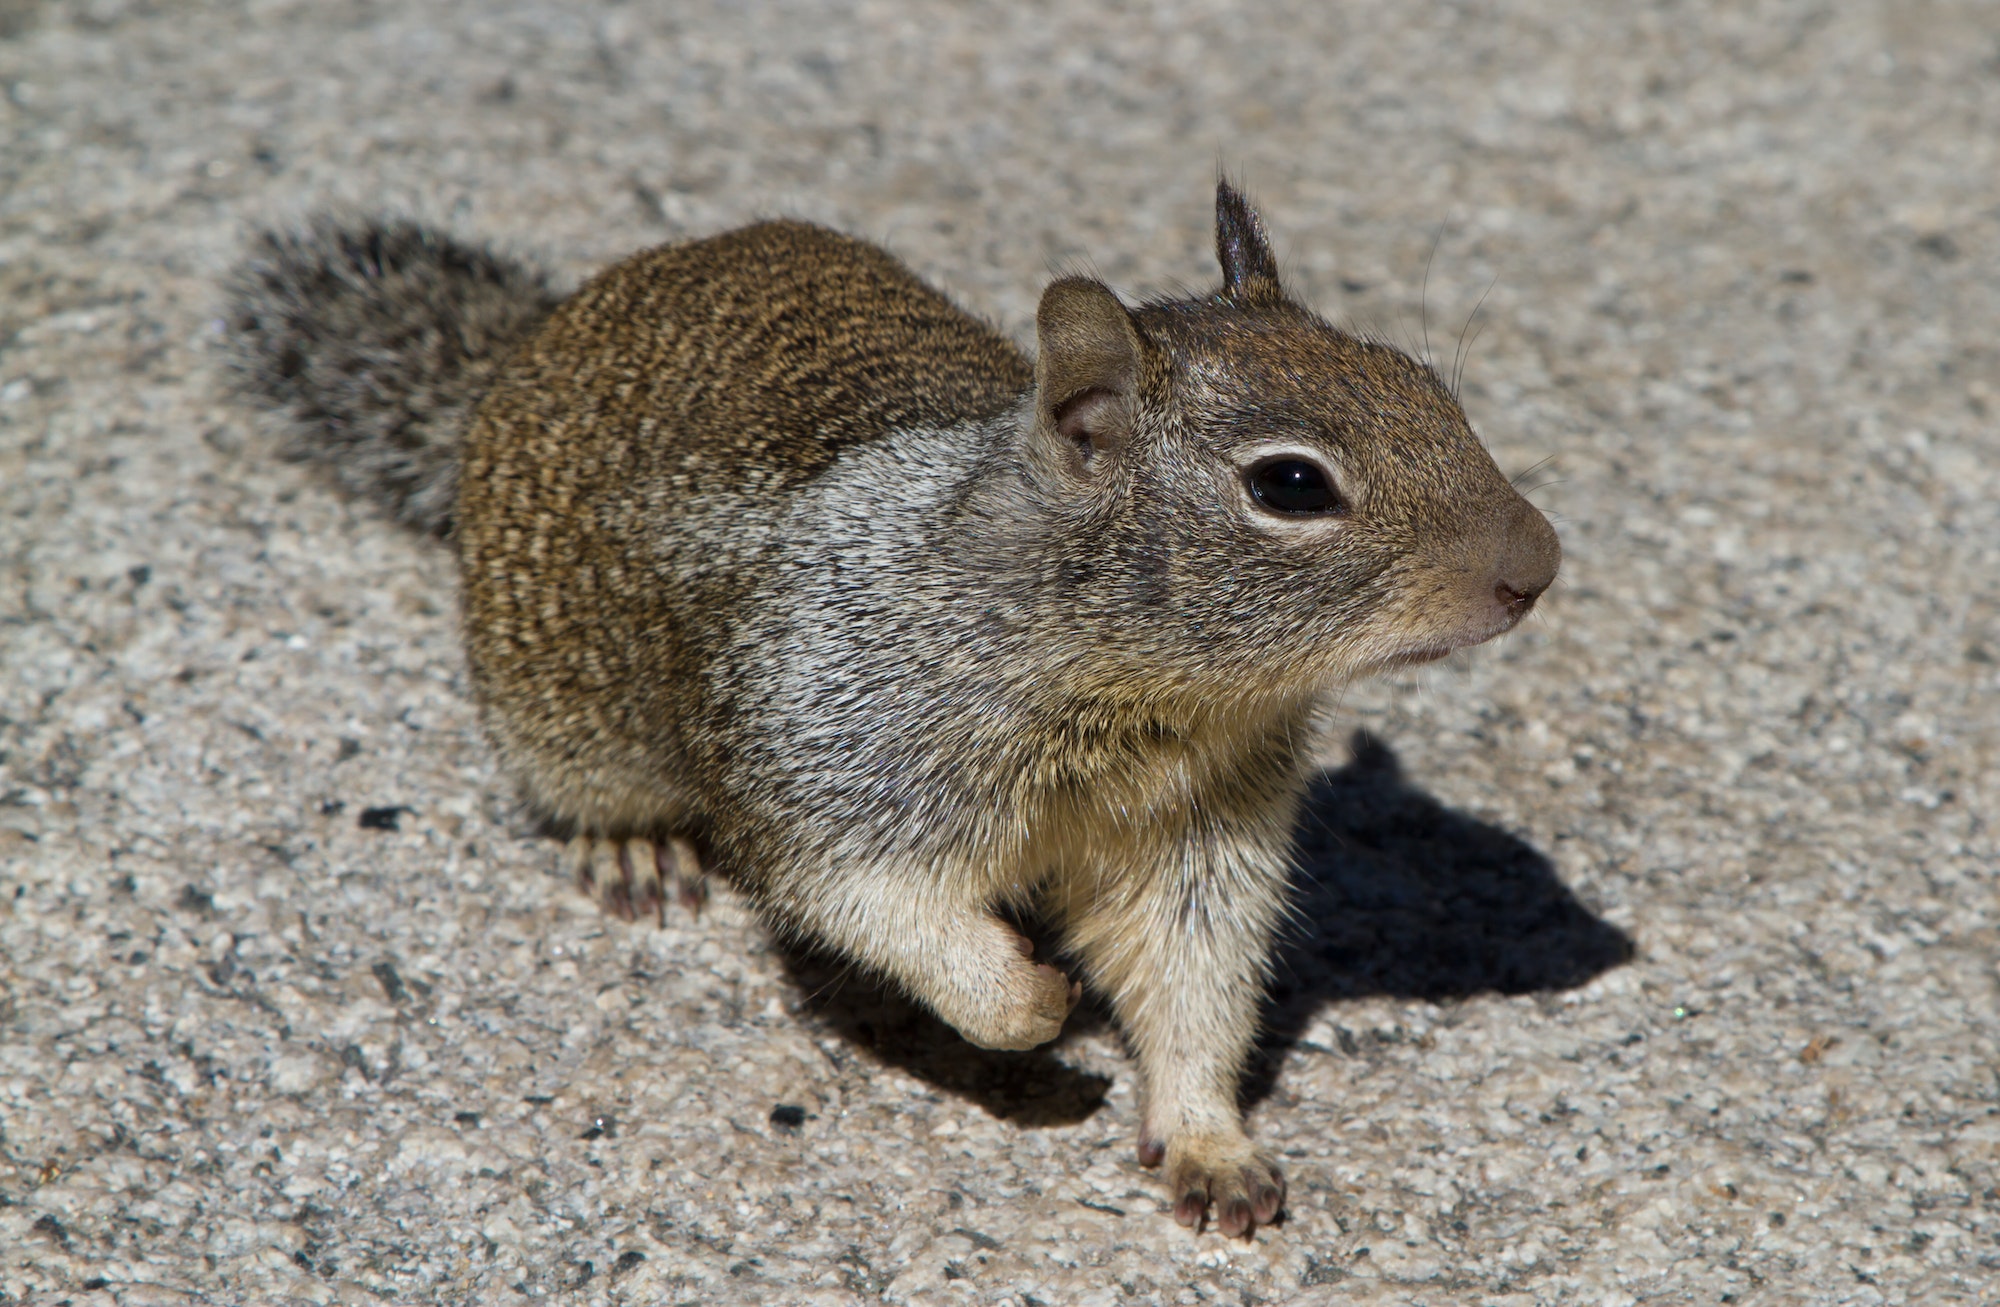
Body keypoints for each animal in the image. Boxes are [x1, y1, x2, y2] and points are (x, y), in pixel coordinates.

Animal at [223, 183, 1560, 1239]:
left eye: (1425, 384)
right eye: (1290, 485)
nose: (1538, 564)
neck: (1137, 694)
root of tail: (527, 344)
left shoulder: (1200, 837)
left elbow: (1196, 985)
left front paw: (1205, 1140)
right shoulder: (830, 757)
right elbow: (887, 910)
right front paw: (1034, 1004)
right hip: (557, 713)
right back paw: (634, 848)